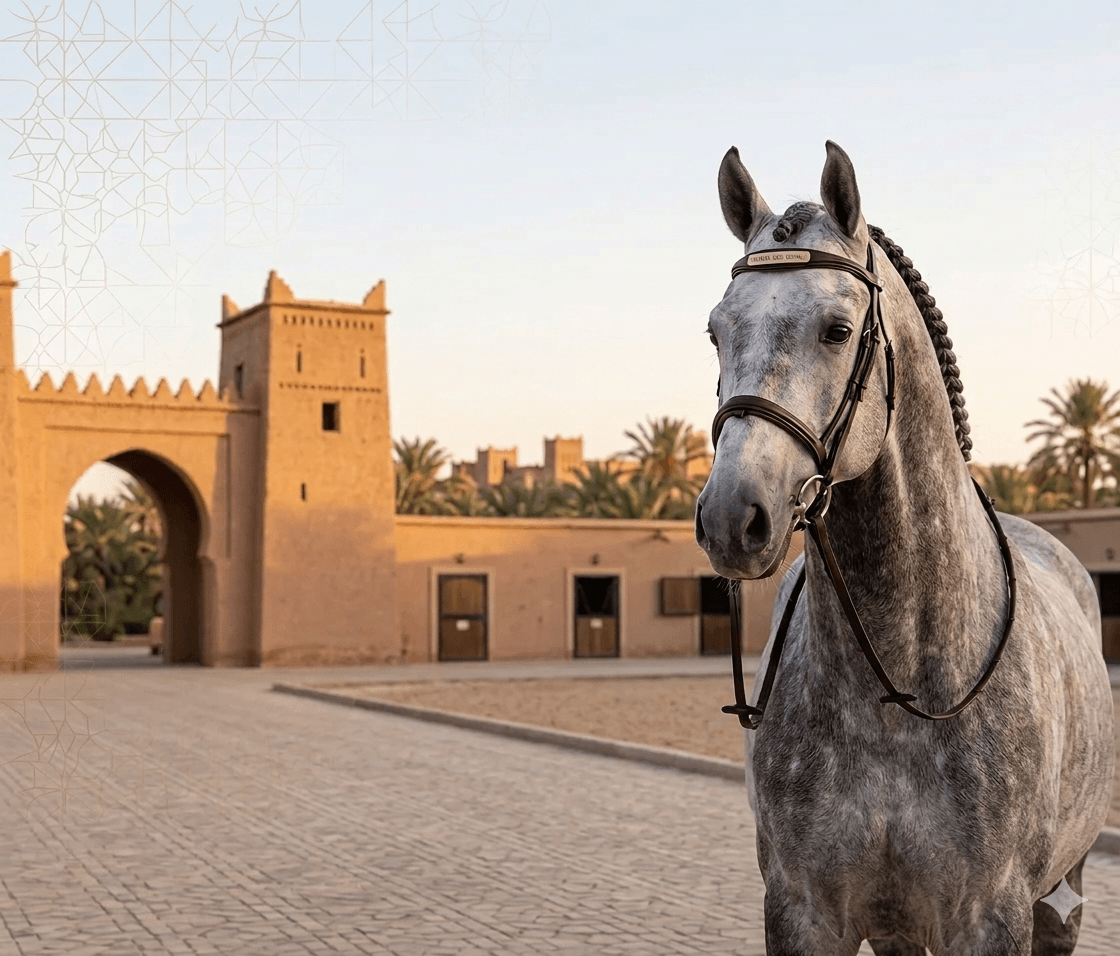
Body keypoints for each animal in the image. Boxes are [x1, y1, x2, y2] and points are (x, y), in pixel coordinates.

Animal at [694, 141, 1115, 956]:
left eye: (836, 328)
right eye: (716, 331)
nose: (732, 517)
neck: (898, 692)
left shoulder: (991, 918)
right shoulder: (804, 912)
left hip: (1063, 890)